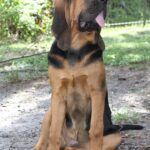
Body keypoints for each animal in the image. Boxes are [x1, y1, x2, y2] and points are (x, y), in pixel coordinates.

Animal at [33, 0, 143, 150]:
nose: (105, 1)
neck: (76, 48)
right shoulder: (57, 94)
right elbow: (53, 132)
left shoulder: (96, 91)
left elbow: (95, 130)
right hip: (49, 111)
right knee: (45, 136)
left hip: (115, 136)